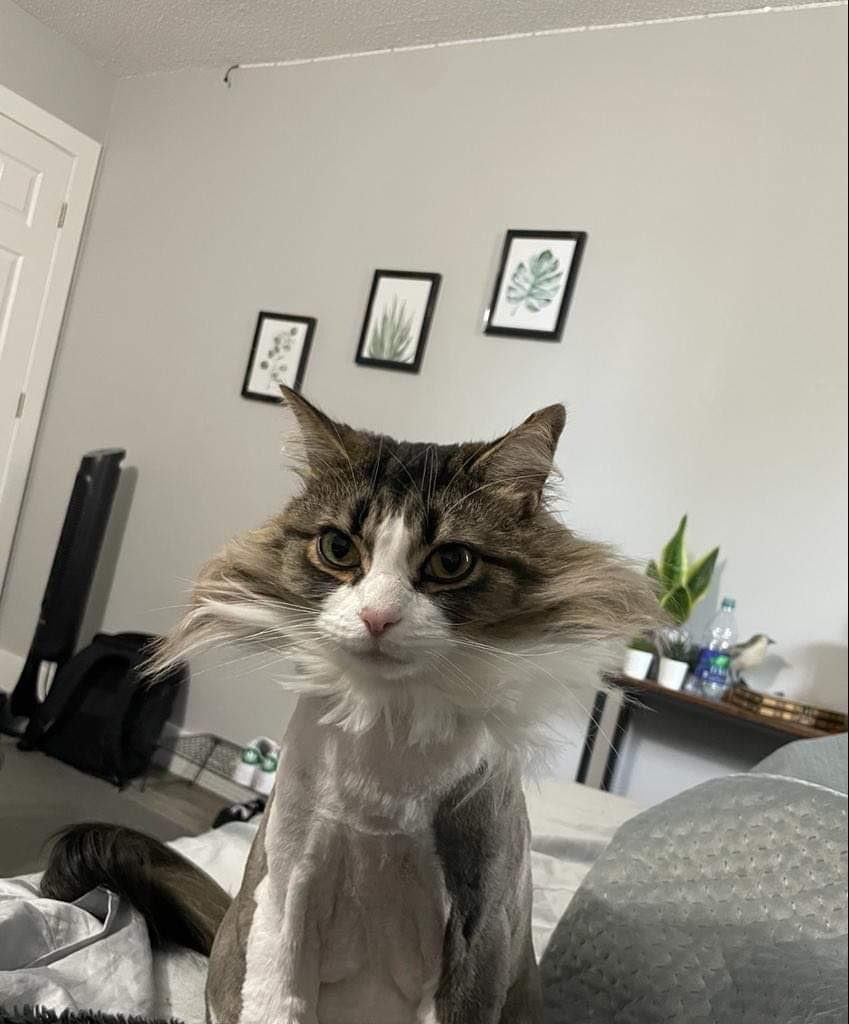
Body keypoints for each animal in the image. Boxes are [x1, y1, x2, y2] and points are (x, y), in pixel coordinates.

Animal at [43, 389, 659, 1024]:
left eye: (451, 562)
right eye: (338, 548)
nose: (377, 618)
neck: (382, 778)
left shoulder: (479, 930)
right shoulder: (286, 898)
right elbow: (278, 1001)